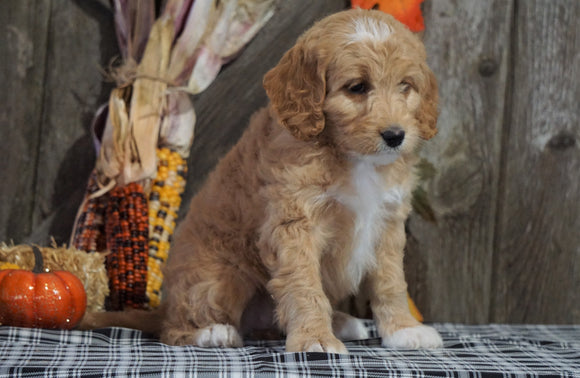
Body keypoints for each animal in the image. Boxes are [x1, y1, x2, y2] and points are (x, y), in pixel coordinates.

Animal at [82, 8, 444, 352]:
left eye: (405, 86)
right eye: (357, 87)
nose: (396, 136)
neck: (351, 156)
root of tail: (165, 306)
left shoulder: (387, 222)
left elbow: (391, 282)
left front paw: (403, 329)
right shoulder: (295, 222)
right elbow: (304, 284)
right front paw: (314, 339)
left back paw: (341, 322)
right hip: (221, 277)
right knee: (174, 328)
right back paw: (212, 332)